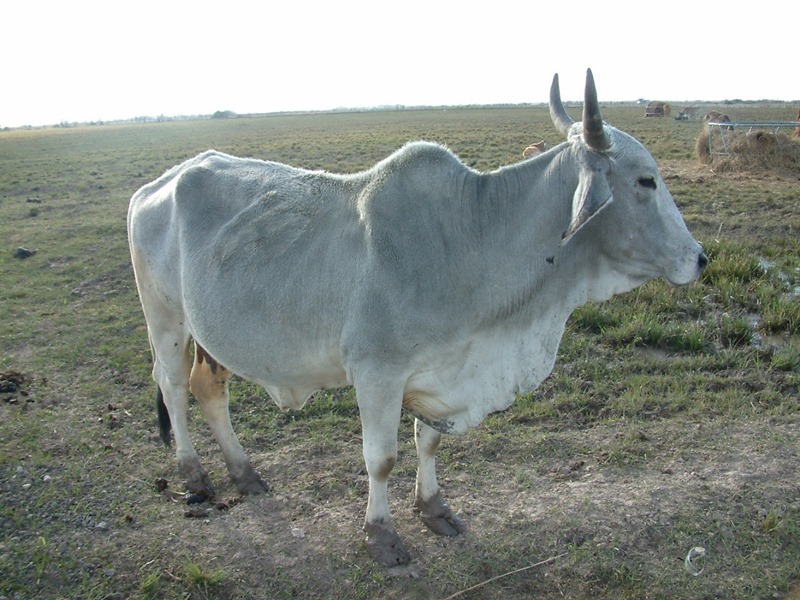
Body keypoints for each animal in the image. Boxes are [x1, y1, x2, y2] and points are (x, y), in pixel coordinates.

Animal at [127, 69, 707, 566]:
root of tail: (160, 182)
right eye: (646, 181)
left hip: (211, 338)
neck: (472, 237)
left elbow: (428, 442)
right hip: (166, 321)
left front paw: (434, 509)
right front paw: (381, 536)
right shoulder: (377, 374)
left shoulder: (440, 373)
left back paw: (244, 474)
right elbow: (381, 458)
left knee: (209, 390)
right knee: (174, 388)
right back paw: (195, 476)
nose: (699, 258)